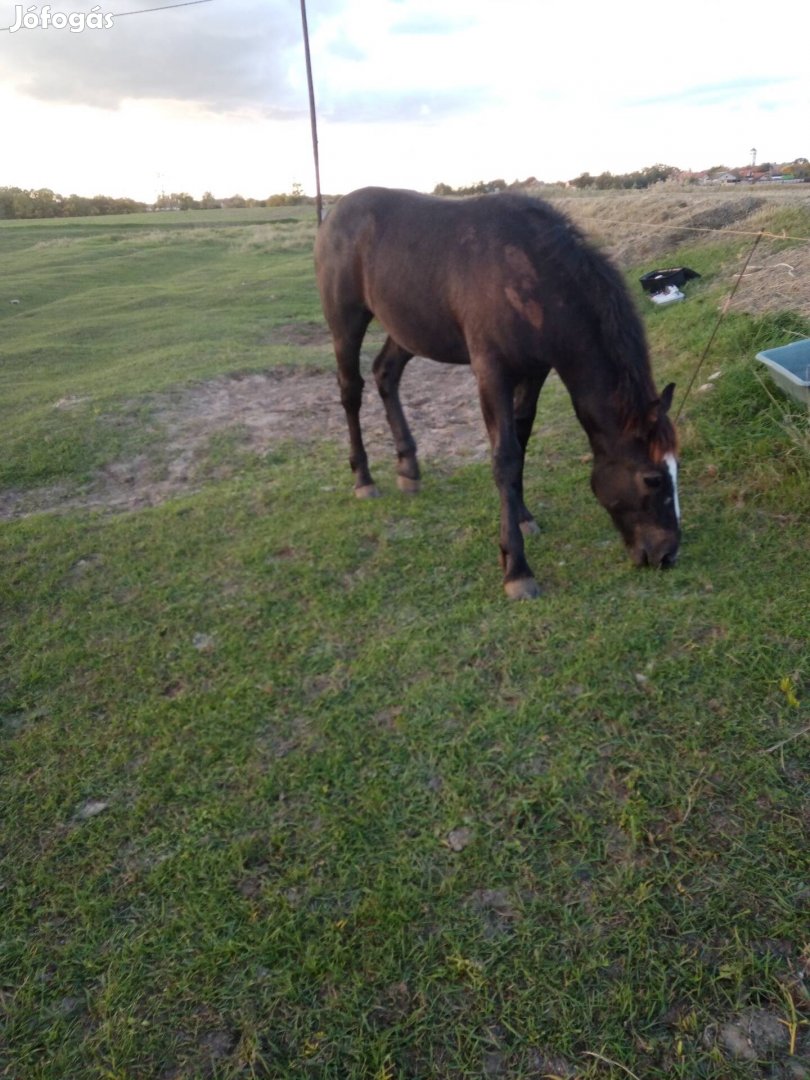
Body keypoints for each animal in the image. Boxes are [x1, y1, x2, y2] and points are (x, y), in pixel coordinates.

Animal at [313, 190, 682, 604]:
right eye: (652, 479)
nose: (667, 553)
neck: (532, 274)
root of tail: (334, 215)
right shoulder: (492, 373)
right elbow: (504, 457)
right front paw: (517, 569)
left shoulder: (534, 371)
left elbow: (520, 441)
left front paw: (522, 517)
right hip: (346, 324)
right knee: (351, 392)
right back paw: (363, 478)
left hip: (407, 329)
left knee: (386, 374)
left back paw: (408, 468)